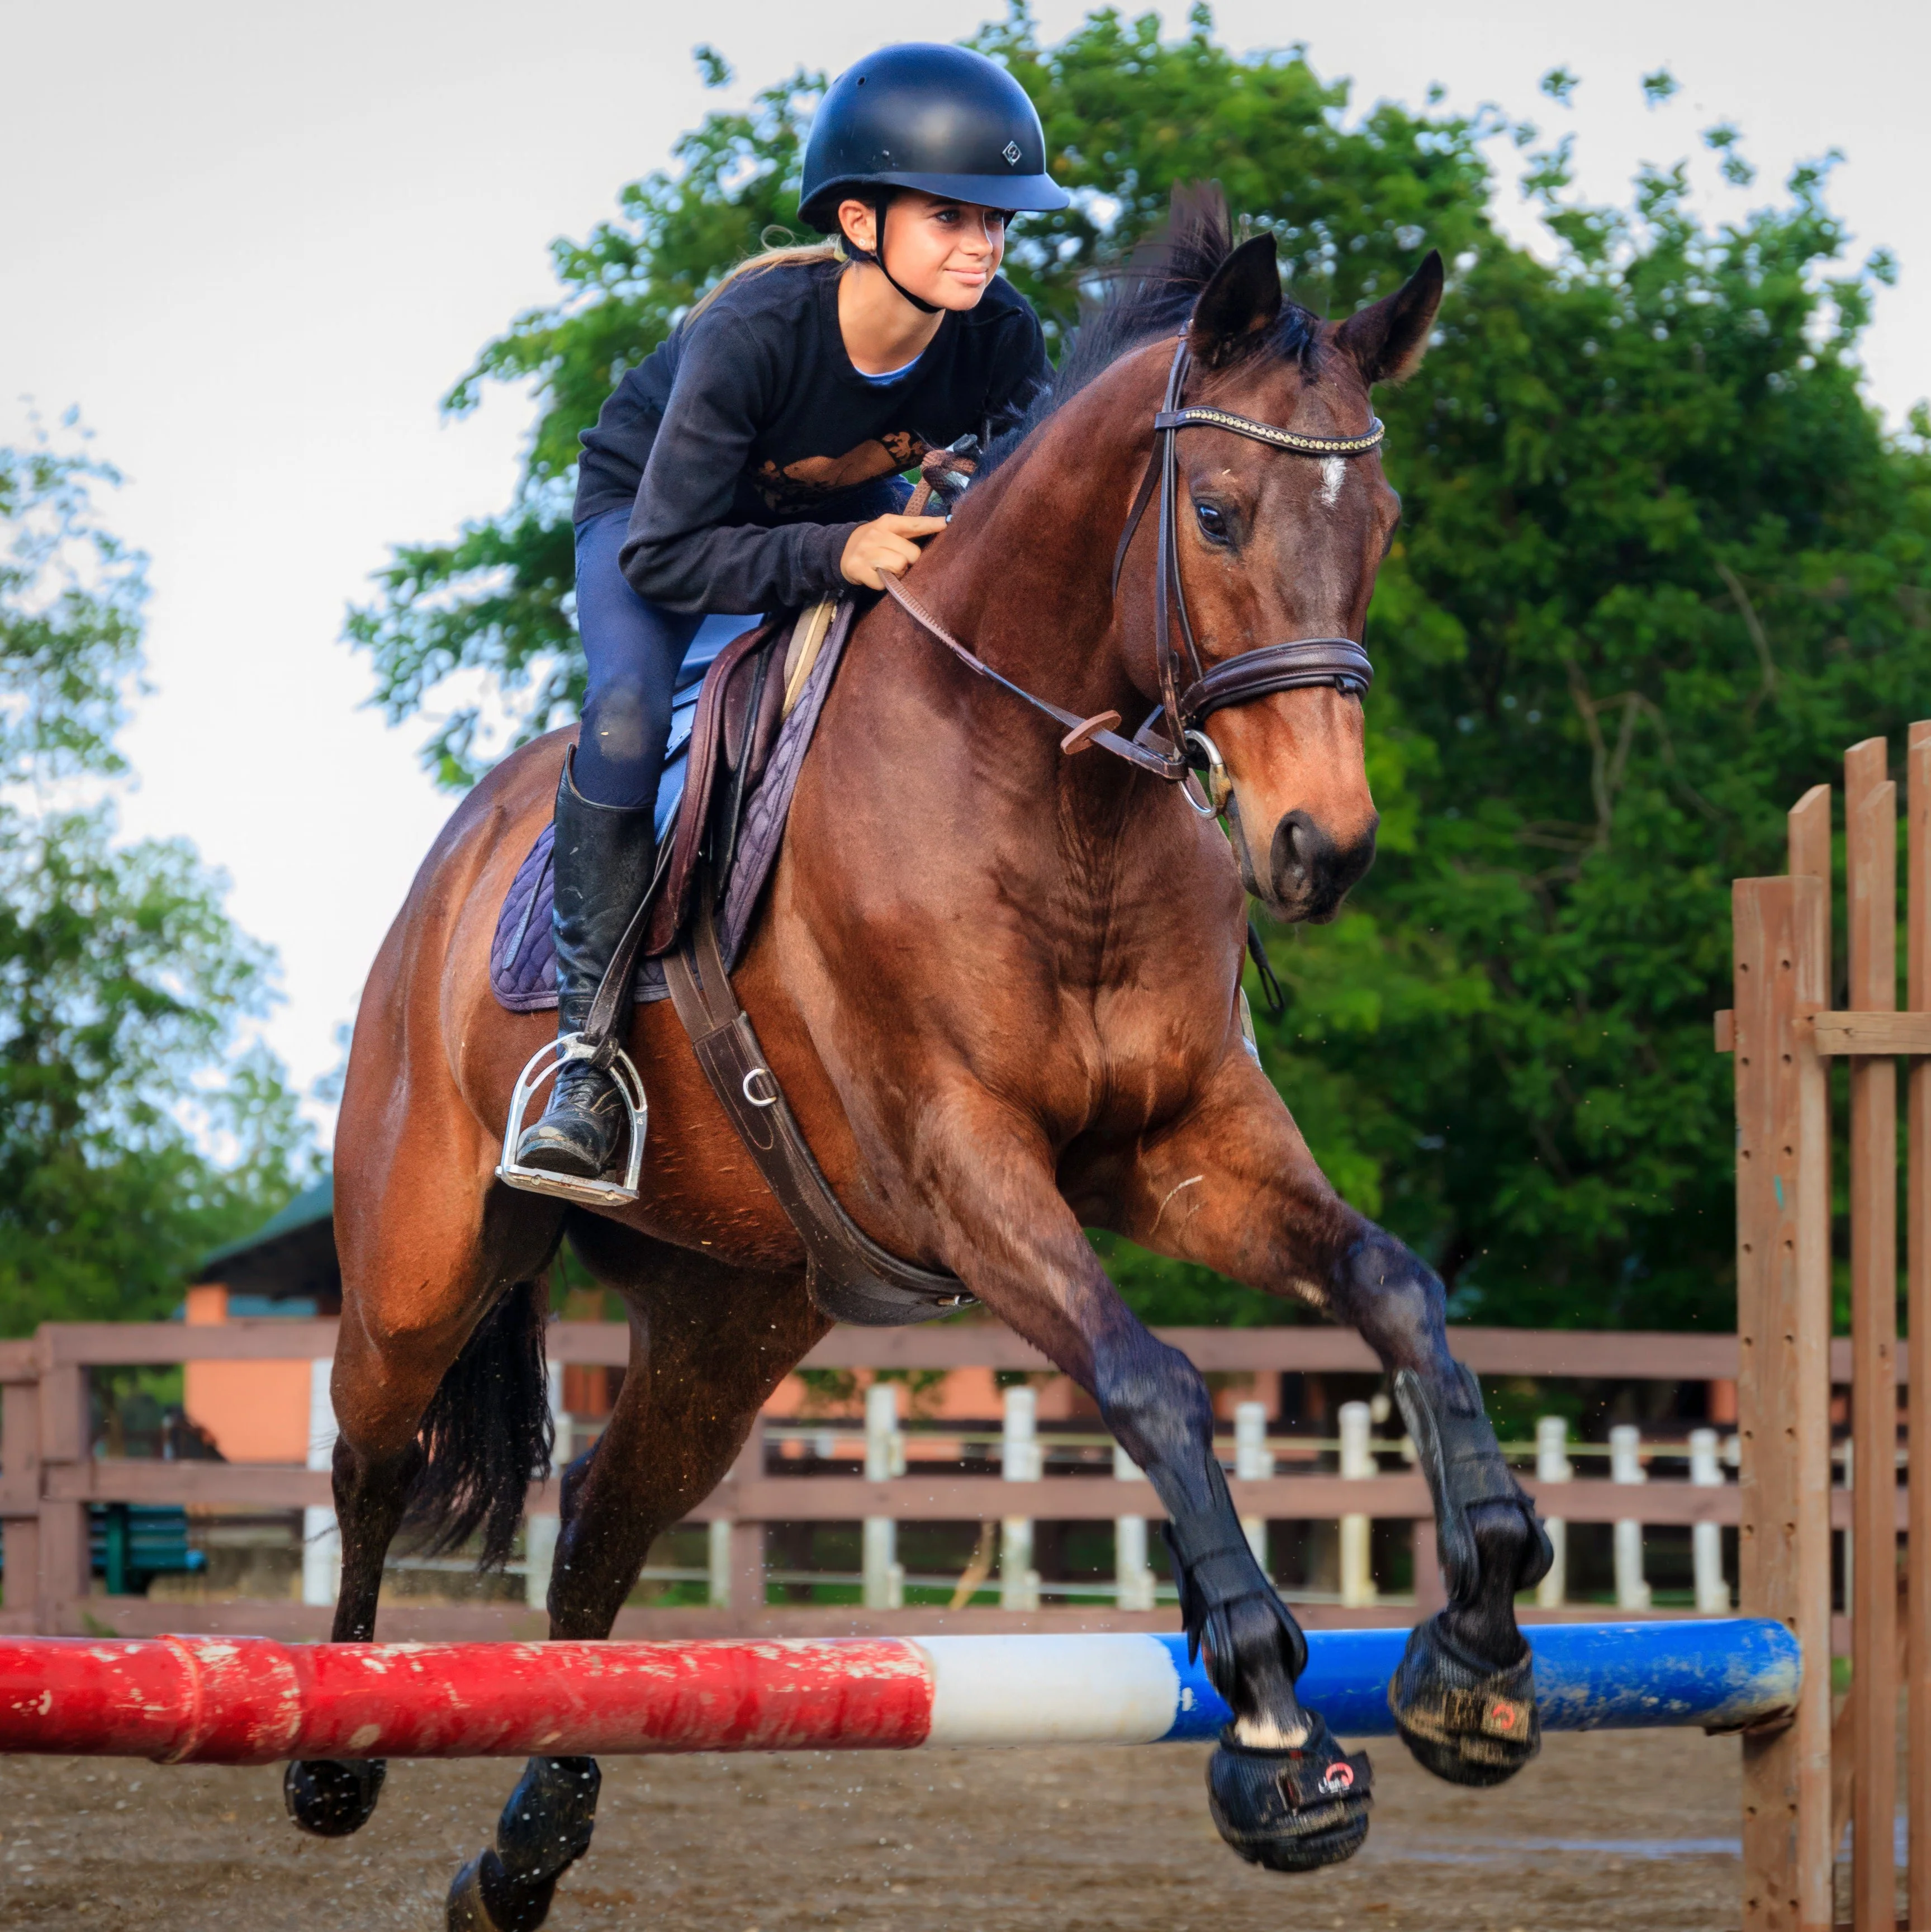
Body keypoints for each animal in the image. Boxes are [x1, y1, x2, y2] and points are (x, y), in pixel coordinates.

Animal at [296, 190, 1550, 1931]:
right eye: (1217, 515)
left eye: (1377, 525)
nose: (1322, 849)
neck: (1052, 789)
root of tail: (454, 863)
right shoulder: (962, 1163)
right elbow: (1153, 1378)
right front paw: (1270, 1725)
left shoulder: (1185, 1144)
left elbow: (1394, 1288)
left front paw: (1474, 1653)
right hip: (423, 1253)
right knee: (373, 1450)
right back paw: (335, 1750)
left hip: (731, 1307)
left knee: (601, 1528)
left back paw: (526, 1848)